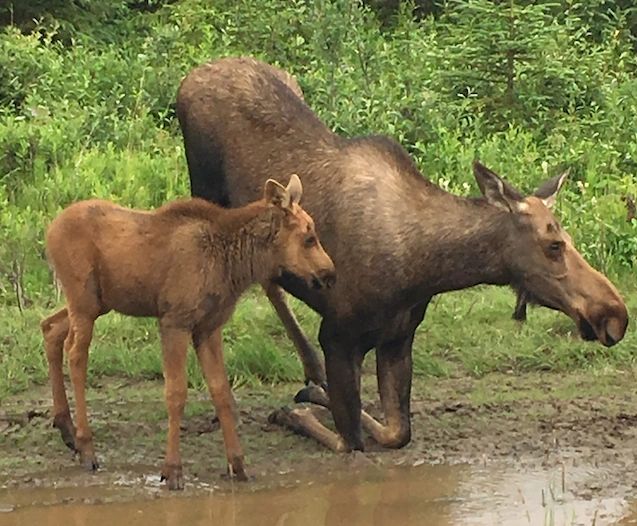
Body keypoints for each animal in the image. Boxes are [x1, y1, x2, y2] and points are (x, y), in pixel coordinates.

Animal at [40, 175, 336, 492]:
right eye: (309, 238)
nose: (330, 274)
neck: (235, 264)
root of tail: (49, 230)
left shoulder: (208, 327)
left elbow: (222, 393)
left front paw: (238, 465)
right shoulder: (175, 322)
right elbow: (176, 394)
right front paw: (172, 470)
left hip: (97, 303)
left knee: (50, 327)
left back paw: (66, 428)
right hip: (84, 301)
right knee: (76, 354)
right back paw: (86, 447)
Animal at [176, 56, 628, 454]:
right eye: (554, 244)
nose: (616, 314)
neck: (424, 267)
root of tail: (191, 77)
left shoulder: (398, 336)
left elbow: (396, 431)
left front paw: (316, 395)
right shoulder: (337, 334)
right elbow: (350, 439)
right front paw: (296, 412)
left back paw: (311, 373)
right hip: (205, 189)